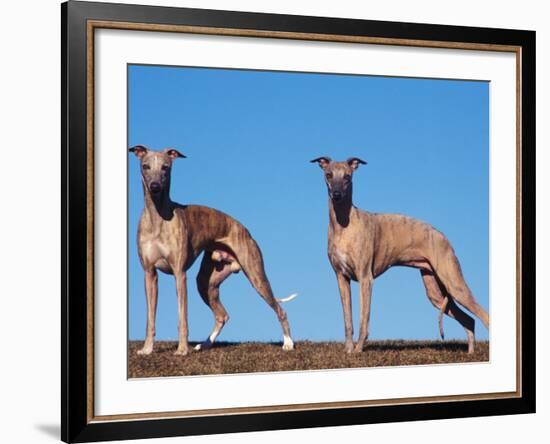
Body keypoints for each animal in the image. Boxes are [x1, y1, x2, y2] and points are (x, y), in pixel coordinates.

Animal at [130, 147, 298, 356]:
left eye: (165, 167)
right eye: (145, 166)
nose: (154, 186)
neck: (158, 217)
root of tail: (245, 231)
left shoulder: (179, 274)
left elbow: (182, 318)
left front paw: (182, 349)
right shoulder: (149, 273)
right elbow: (150, 318)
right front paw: (147, 349)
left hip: (256, 275)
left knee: (280, 309)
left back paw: (288, 343)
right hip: (206, 283)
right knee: (222, 316)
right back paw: (205, 344)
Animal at [312, 156, 490, 354]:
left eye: (347, 177)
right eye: (329, 174)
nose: (336, 195)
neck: (344, 224)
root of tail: (444, 238)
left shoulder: (365, 278)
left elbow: (363, 319)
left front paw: (358, 349)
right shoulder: (341, 278)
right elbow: (347, 320)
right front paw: (349, 350)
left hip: (454, 284)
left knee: (484, 316)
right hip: (435, 292)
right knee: (470, 320)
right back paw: (471, 352)